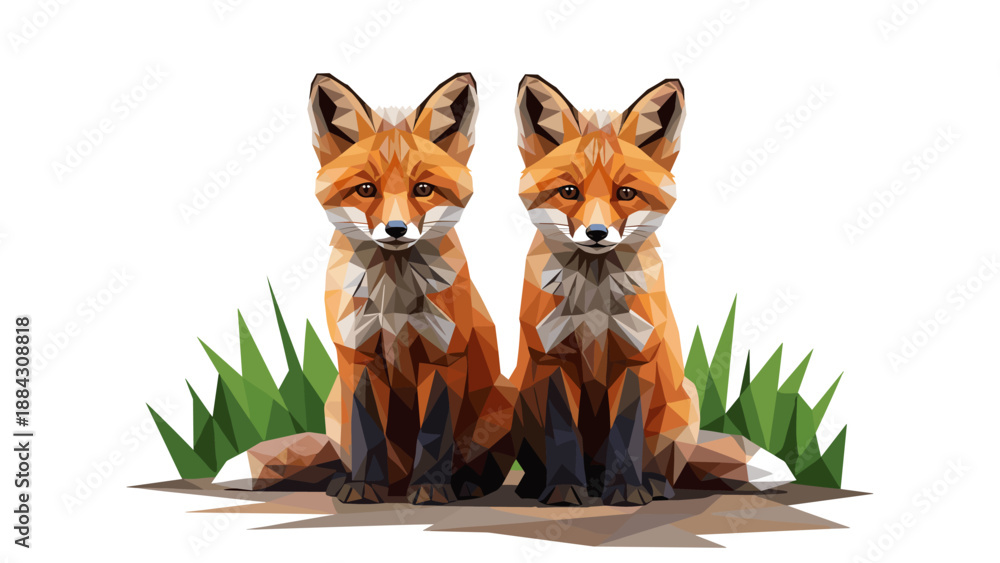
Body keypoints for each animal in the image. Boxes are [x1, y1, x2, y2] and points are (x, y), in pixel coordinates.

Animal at [308, 73, 516, 505]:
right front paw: (362, 487)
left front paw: (432, 490)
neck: (394, 300)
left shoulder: (442, 358)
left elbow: (434, 437)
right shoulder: (359, 357)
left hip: (504, 401)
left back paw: (464, 485)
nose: (396, 230)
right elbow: (367, 434)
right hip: (334, 402)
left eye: (422, 189)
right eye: (365, 190)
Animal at [510, 75, 793, 506]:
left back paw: (653, 486)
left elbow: (626, 438)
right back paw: (542, 484)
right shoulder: (553, 358)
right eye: (569, 192)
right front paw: (563, 491)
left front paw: (627, 492)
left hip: (681, 408)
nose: (596, 233)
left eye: (626, 193)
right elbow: (562, 436)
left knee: (666, 465)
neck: (594, 299)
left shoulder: (635, 357)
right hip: (518, 391)